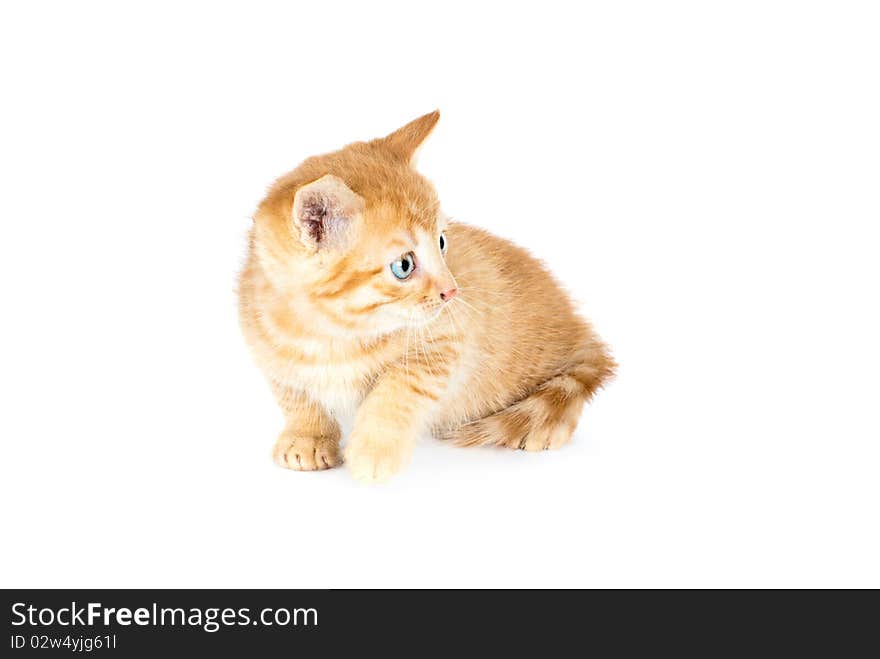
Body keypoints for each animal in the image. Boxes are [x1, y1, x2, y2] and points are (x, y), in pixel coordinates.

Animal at [237, 112, 616, 484]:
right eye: (403, 265)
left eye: (442, 242)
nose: (452, 291)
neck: (329, 331)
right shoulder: (266, 350)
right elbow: (294, 394)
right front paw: (308, 437)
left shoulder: (446, 341)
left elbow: (398, 389)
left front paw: (374, 450)